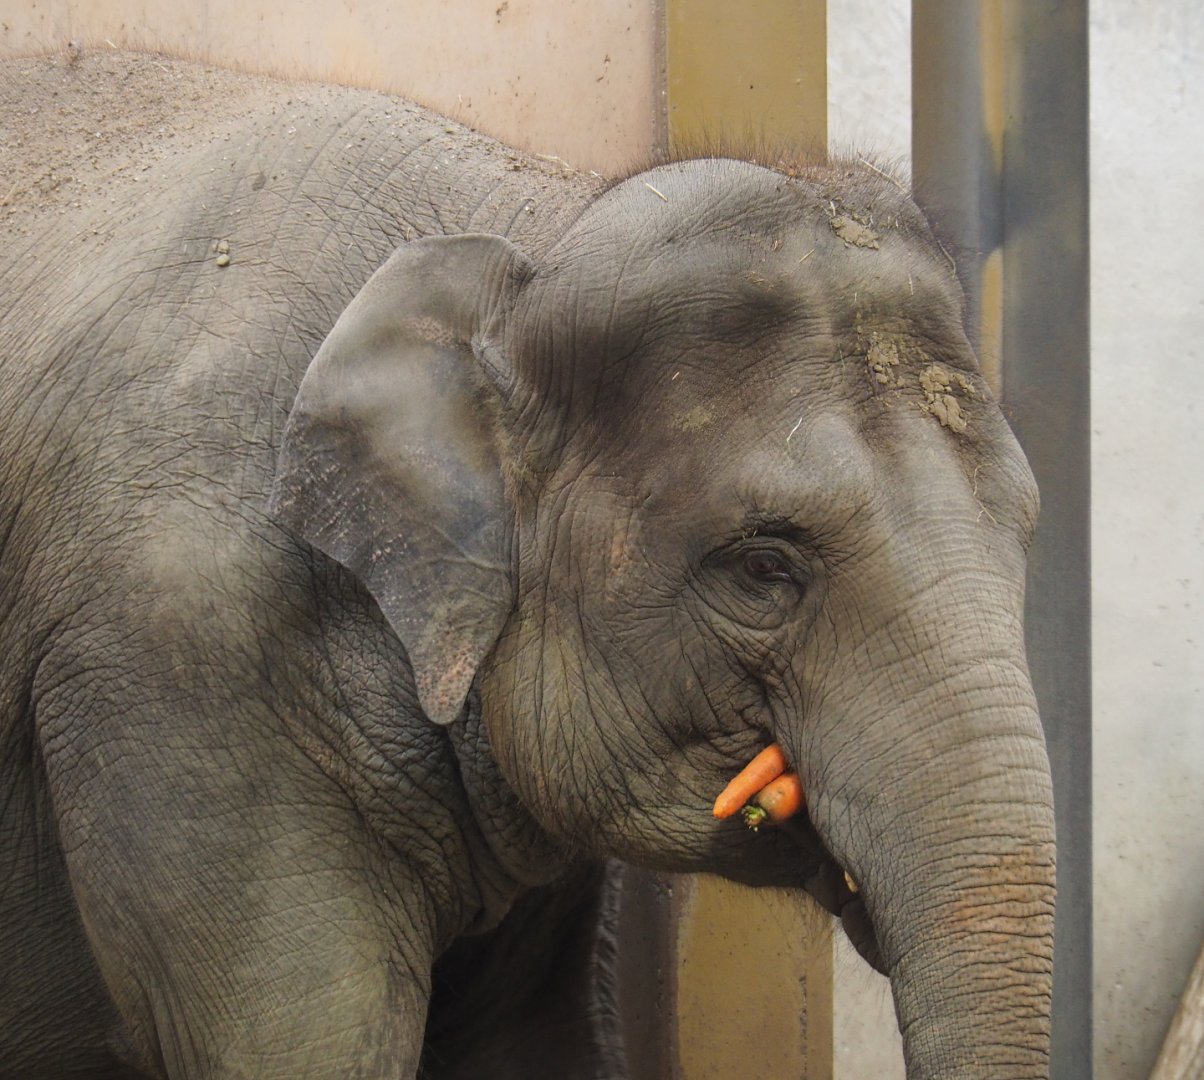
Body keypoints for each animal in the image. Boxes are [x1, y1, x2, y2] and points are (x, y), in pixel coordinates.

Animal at [0, 50, 1056, 1080]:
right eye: (764, 569)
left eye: (1026, 531)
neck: (527, 229)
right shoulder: (185, 659)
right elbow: (304, 1045)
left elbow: (533, 1042)